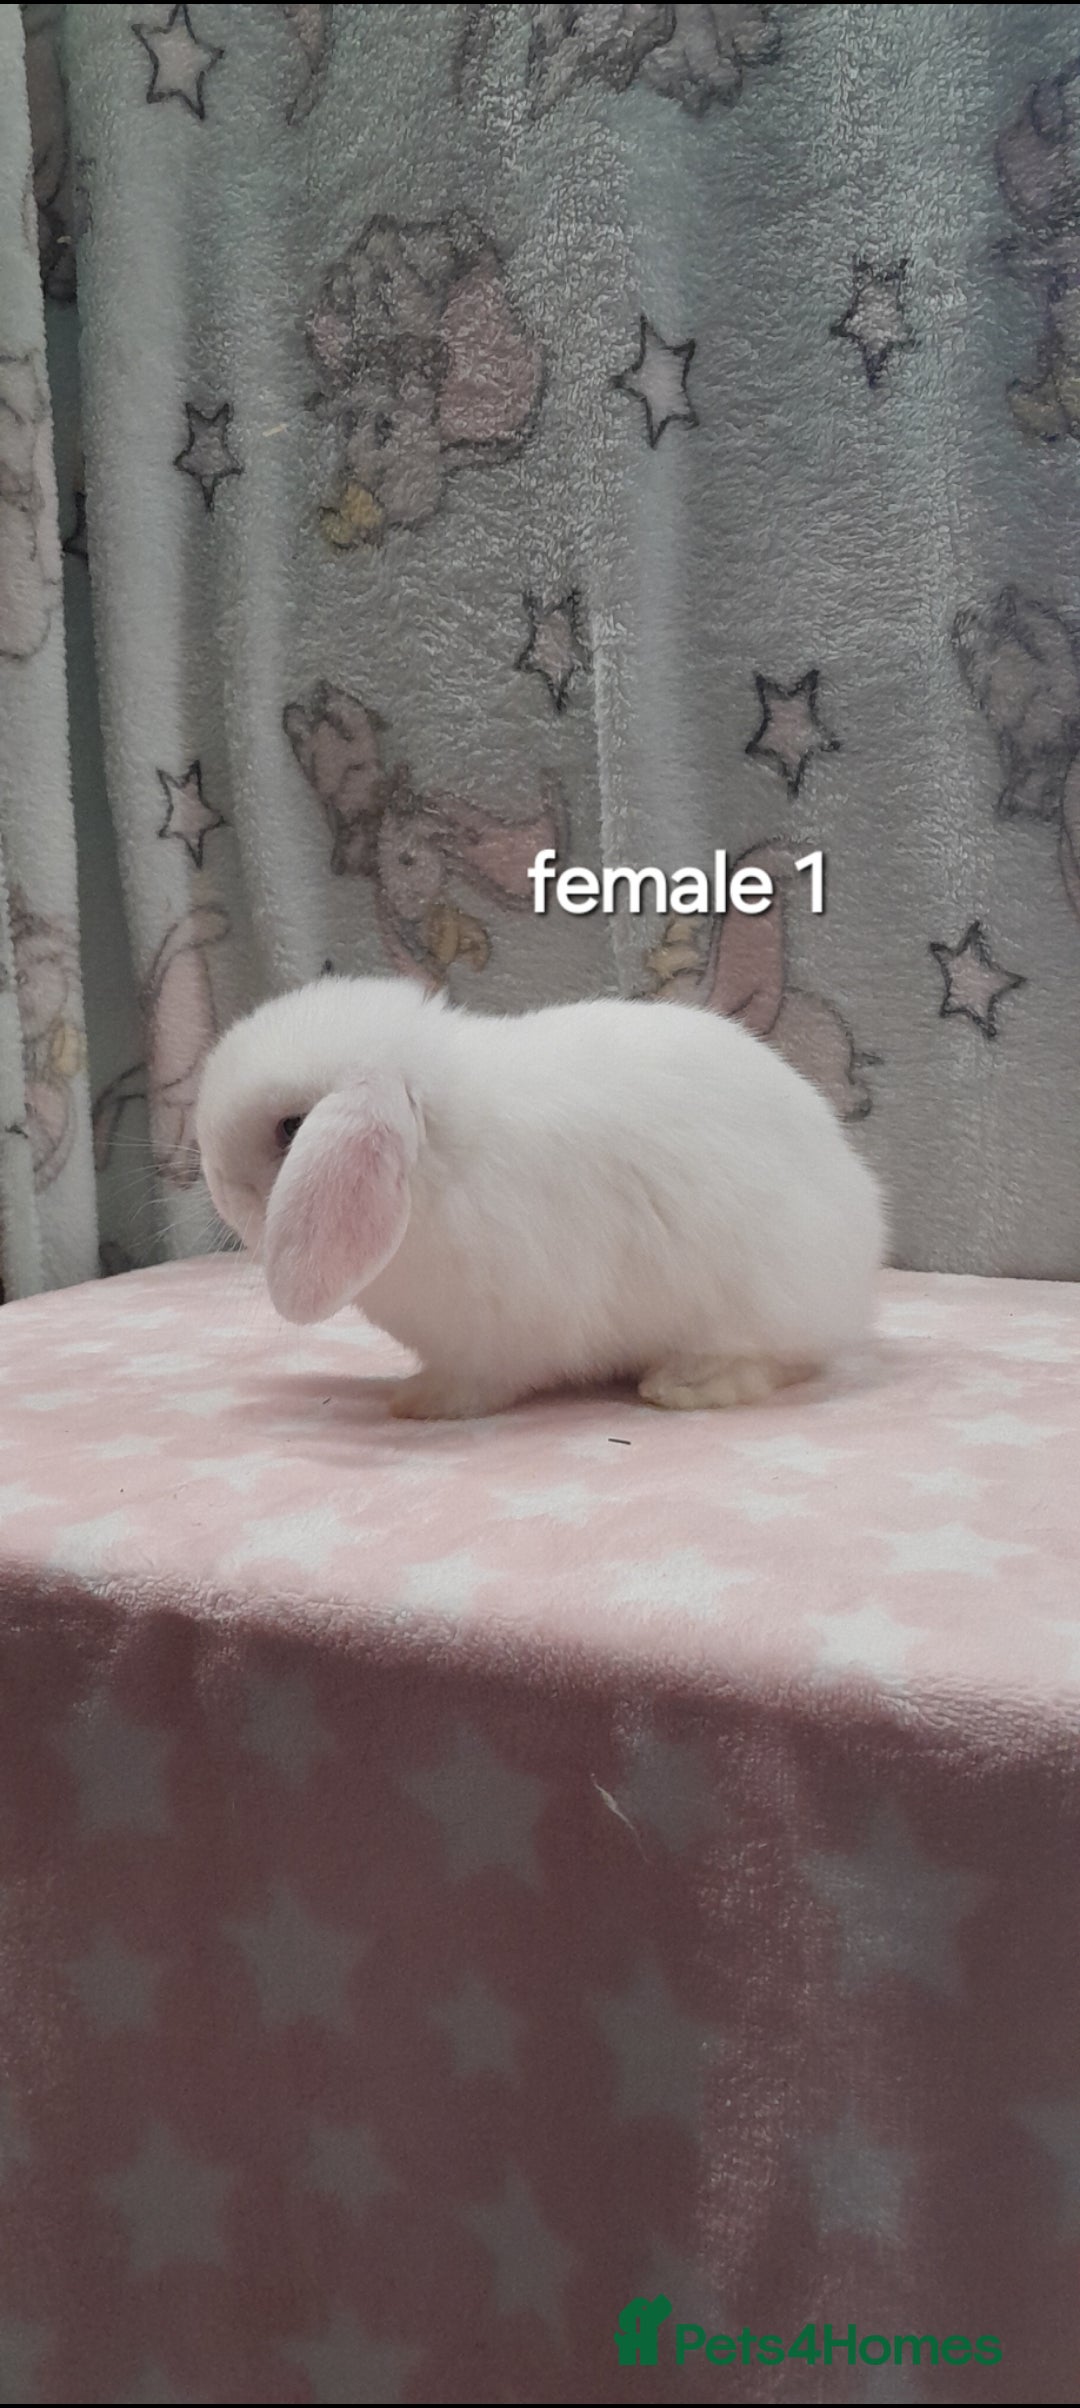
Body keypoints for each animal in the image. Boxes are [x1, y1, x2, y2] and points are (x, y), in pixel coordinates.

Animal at [195, 975, 885, 1419]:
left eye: (291, 1129)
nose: (215, 1183)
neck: (443, 1151)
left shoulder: (498, 1332)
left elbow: (483, 1381)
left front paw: (421, 1402)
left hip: (758, 1300)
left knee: (785, 1360)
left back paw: (685, 1384)